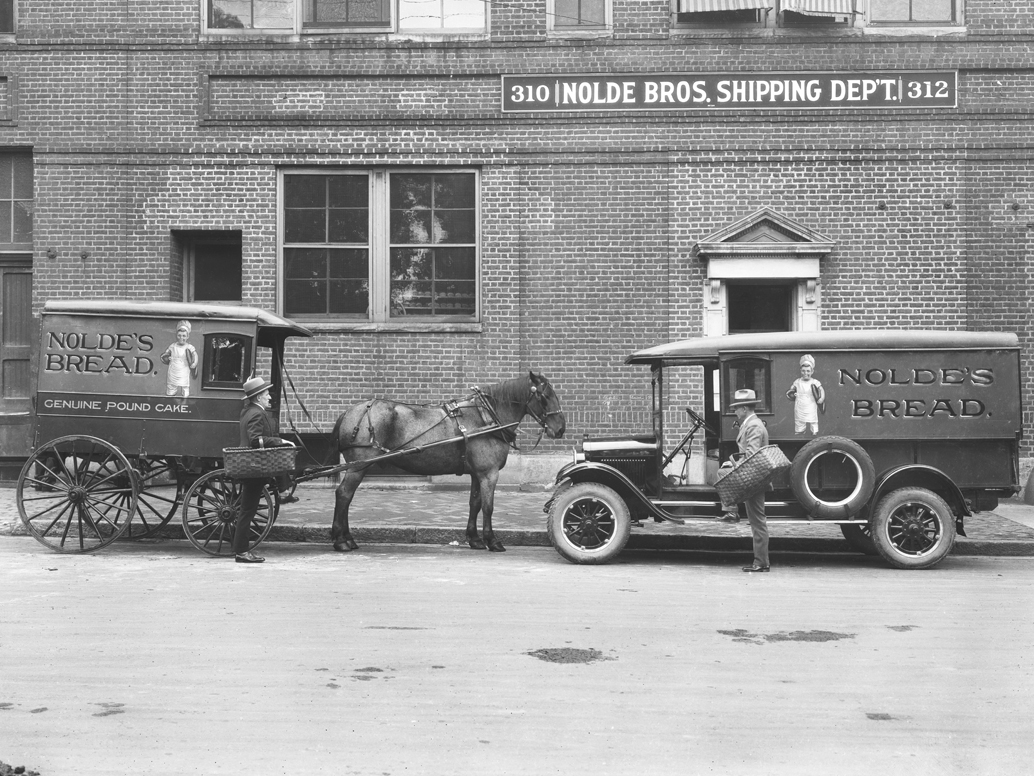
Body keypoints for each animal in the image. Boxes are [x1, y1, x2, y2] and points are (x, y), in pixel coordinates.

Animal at [328, 374, 566, 554]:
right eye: (544, 396)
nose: (560, 429)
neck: (486, 418)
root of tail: (350, 411)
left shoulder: (477, 473)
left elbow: (474, 504)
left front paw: (474, 539)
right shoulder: (488, 473)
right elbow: (488, 507)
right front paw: (492, 540)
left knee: (346, 497)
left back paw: (347, 538)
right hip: (358, 466)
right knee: (344, 494)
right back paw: (341, 540)